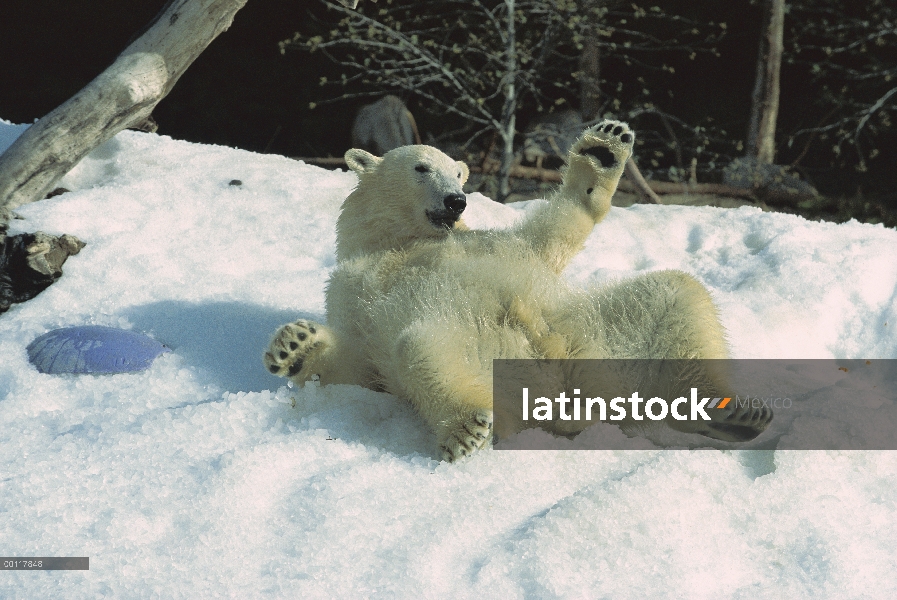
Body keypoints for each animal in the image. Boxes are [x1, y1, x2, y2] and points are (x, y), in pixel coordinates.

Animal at [264, 120, 768, 460]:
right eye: (421, 167)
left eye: (459, 175)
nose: (456, 201)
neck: (400, 243)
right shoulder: (353, 286)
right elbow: (362, 365)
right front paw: (297, 345)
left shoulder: (497, 243)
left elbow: (554, 232)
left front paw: (602, 150)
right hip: (488, 349)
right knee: (422, 348)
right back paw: (465, 424)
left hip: (600, 332)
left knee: (676, 295)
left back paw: (732, 412)